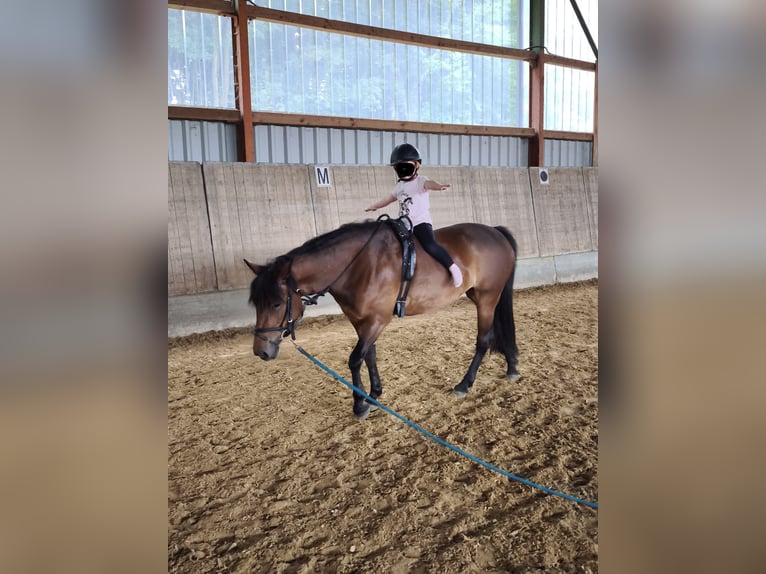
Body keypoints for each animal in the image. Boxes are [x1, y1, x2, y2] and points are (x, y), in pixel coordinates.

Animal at [245, 219, 520, 420]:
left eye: (276, 303)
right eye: (256, 303)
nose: (261, 351)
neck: (360, 265)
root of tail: (494, 232)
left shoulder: (377, 321)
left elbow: (355, 360)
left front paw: (360, 405)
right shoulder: (362, 322)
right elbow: (370, 356)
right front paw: (374, 394)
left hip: (487, 298)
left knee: (483, 340)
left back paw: (464, 384)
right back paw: (512, 366)